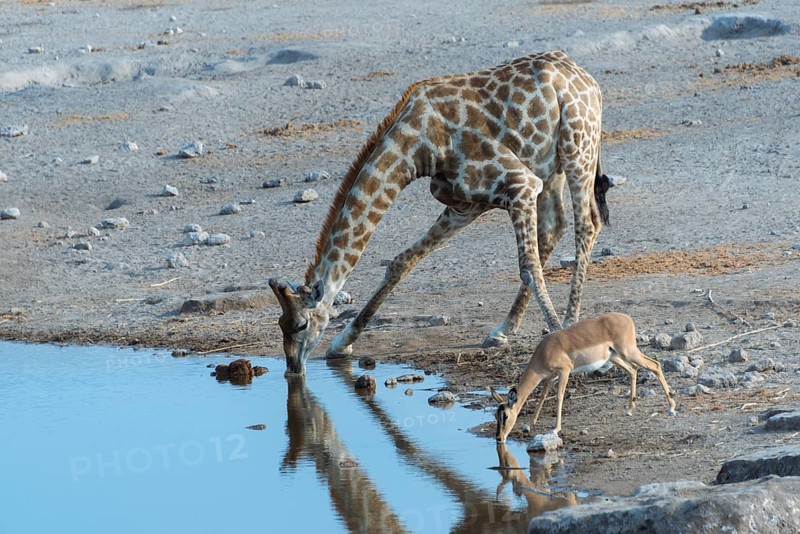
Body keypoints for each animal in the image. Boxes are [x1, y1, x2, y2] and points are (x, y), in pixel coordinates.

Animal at [270, 50, 610, 375]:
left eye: (300, 324)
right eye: (281, 324)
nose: (292, 368)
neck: (417, 146)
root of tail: (587, 79)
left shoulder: (520, 184)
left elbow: (529, 265)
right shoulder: (465, 205)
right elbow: (401, 262)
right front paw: (342, 343)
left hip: (578, 147)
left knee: (587, 225)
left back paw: (567, 324)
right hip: (551, 167)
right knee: (555, 227)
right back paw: (502, 330)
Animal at [491, 312, 676, 444]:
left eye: (505, 416)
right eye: (495, 415)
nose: (499, 438)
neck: (545, 350)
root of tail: (627, 318)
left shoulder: (564, 371)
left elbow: (559, 396)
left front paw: (556, 429)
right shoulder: (549, 378)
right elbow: (542, 397)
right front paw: (530, 424)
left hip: (628, 352)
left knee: (655, 365)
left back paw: (672, 407)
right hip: (615, 358)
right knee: (633, 371)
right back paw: (629, 409)